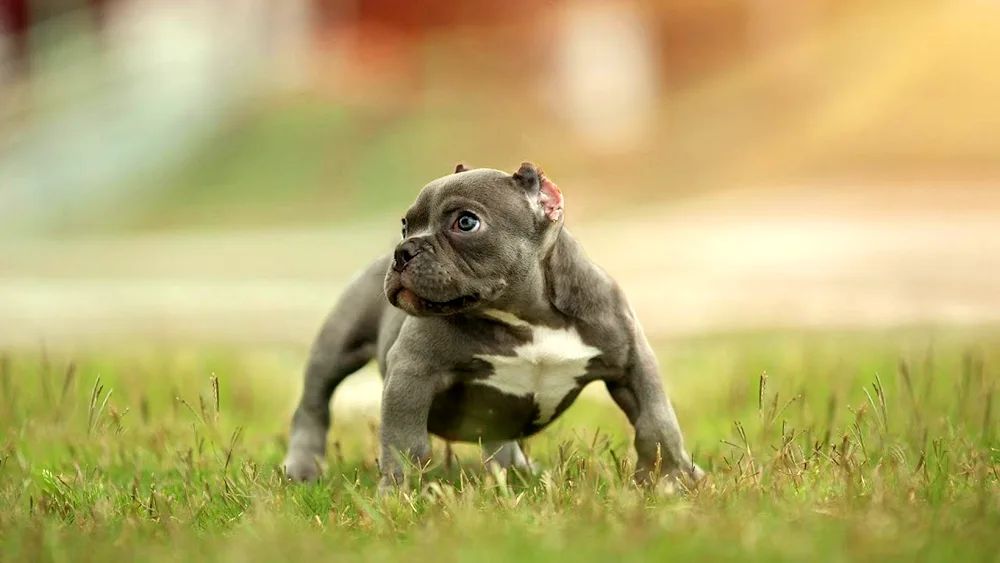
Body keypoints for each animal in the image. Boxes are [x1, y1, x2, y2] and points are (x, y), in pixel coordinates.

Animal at [282, 162, 704, 494]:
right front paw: (399, 497)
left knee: (499, 439)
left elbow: (657, 422)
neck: (529, 316)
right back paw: (302, 468)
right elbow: (407, 444)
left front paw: (672, 480)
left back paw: (519, 473)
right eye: (405, 226)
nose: (403, 251)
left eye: (466, 222)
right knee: (314, 405)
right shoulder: (412, 372)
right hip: (336, 347)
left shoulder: (632, 363)